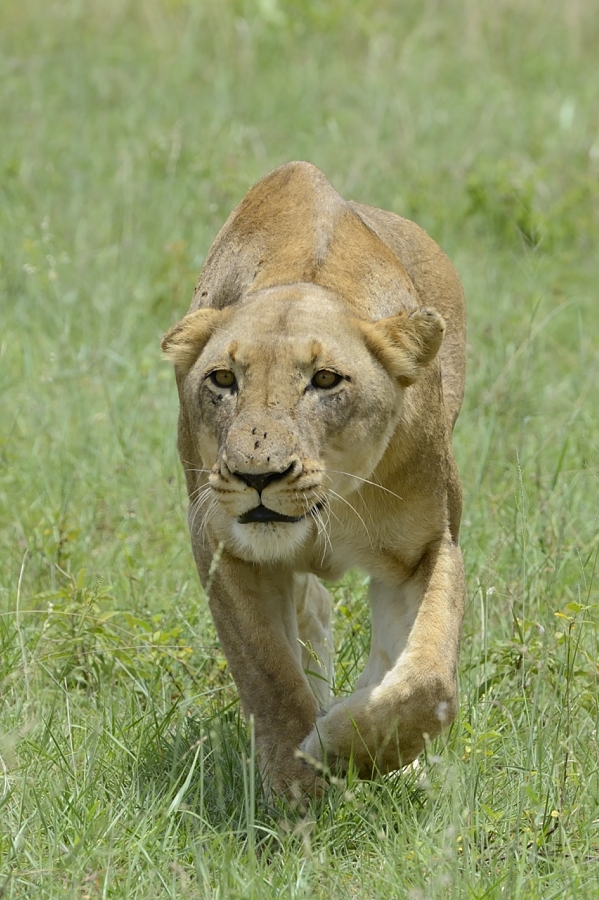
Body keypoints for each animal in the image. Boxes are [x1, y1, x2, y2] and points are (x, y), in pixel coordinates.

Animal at [162, 161, 466, 796]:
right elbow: (270, 675)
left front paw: (341, 745)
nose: (257, 475)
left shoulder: (429, 545)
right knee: (312, 615)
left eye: (326, 380)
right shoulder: (222, 545)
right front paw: (298, 781)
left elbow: (428, 680)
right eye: (223, 378)